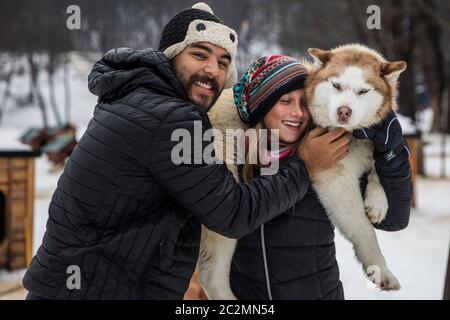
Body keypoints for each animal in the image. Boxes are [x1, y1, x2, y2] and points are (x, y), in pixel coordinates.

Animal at [200, 43, 408, 298]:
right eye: (336, 85)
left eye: (363, 91)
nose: (344, 111)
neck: (351, 136)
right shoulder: (335, 178)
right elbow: (364, 230)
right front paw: (380, 270)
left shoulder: (375, 141)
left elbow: (380, 162)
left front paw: (377, 203)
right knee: (209, 273)